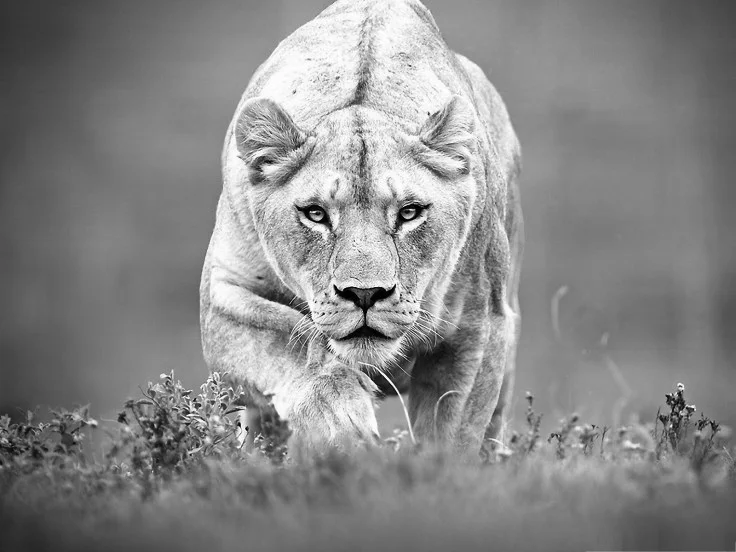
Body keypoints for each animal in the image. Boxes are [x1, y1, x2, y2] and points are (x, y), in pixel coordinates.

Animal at [199, 0, 523, 456]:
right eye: (316, 214)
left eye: (409, 213)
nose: (365, 294)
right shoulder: (222, 296)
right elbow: (294, 339)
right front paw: (342, 425)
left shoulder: (479, 327)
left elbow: (452, 437)